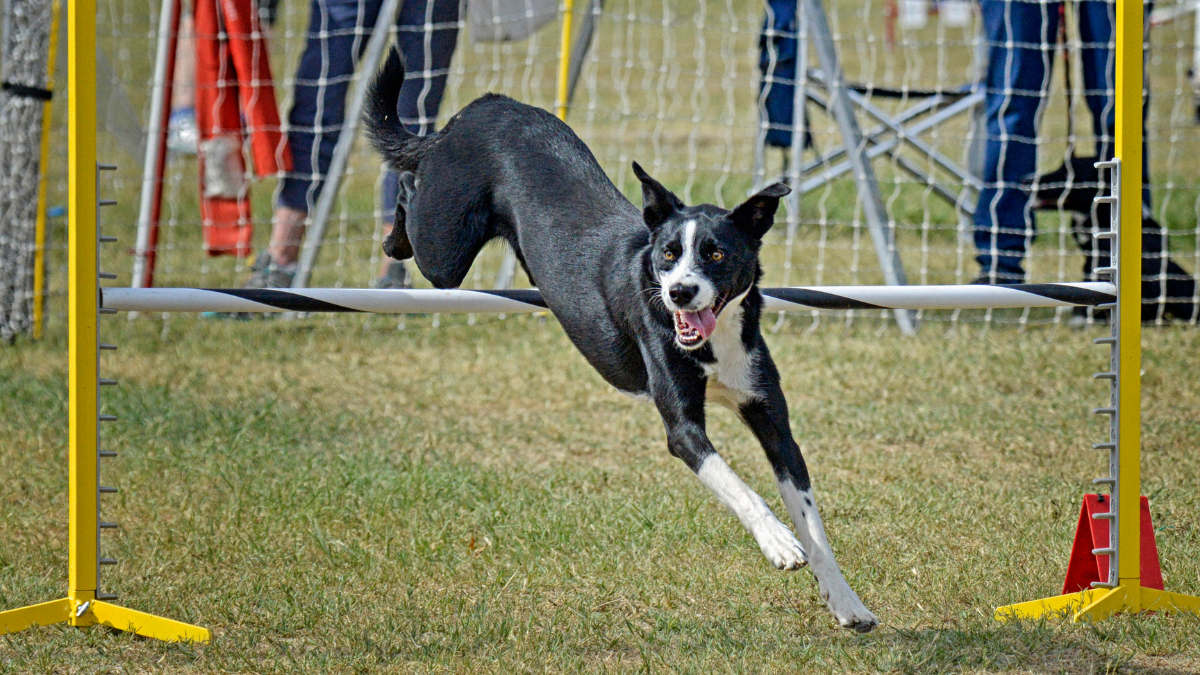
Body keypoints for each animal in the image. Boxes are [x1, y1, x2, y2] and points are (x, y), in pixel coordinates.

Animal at [360, 49, 878, 629]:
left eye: (717, 254)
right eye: (668, 253)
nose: (679, 292)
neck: (714, 345)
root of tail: (476, 109)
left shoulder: (770, 417)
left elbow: (814, 523)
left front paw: (847, 603)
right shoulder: (683, 430)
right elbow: (741, 488)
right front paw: (779, 542)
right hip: (443, 248)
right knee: (409, 191)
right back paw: (393, 233)